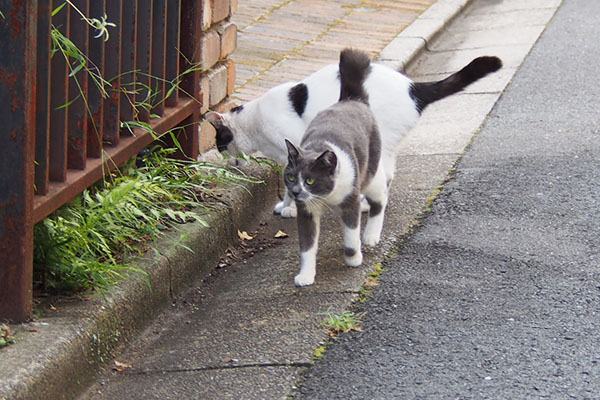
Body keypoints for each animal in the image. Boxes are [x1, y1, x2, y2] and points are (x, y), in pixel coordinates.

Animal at [207, 51, 502, 219]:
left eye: (219, 145)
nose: (226, 163)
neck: (255, 121)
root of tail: (413, 87)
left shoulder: (294, 147)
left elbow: (292, 183)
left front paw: (290, 207)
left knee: (383, 176)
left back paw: (363, 203)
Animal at [282, 49, 384, 288]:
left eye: (310, 180)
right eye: (290, 177)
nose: (295, 192)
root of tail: (351, 99)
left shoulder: (351, 200)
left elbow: (351, 236)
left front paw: (354, 258)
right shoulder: (306, 211)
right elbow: (307, 246)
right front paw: (306, 276)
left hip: (370, 172)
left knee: (380, 199)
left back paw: (370, 236)